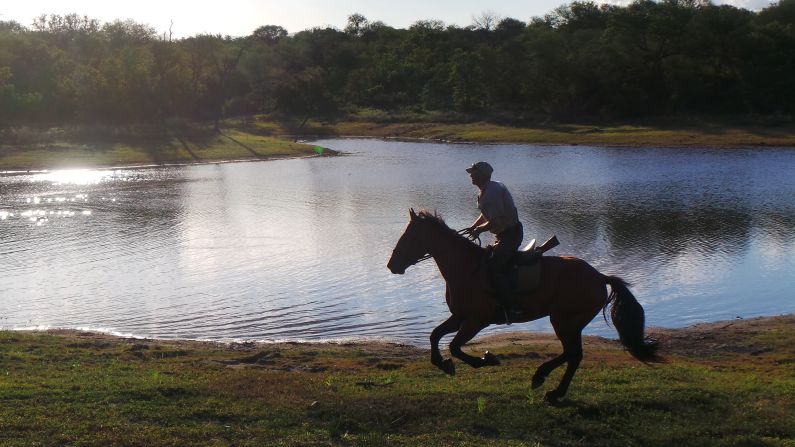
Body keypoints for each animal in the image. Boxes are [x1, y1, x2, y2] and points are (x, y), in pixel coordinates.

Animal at [388, 209, 660, 402]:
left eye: (410, 237)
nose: (392, 265)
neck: (467, 269)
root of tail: (599, 277)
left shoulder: (477, 320)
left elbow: (455, 346)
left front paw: (486, 359)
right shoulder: (459, 316)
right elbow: (435, 336)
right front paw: (443, 363)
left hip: (564, 320)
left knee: (573, 354)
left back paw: (544, 380)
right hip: (569, 322)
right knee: (573, 355)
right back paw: (552, 388)